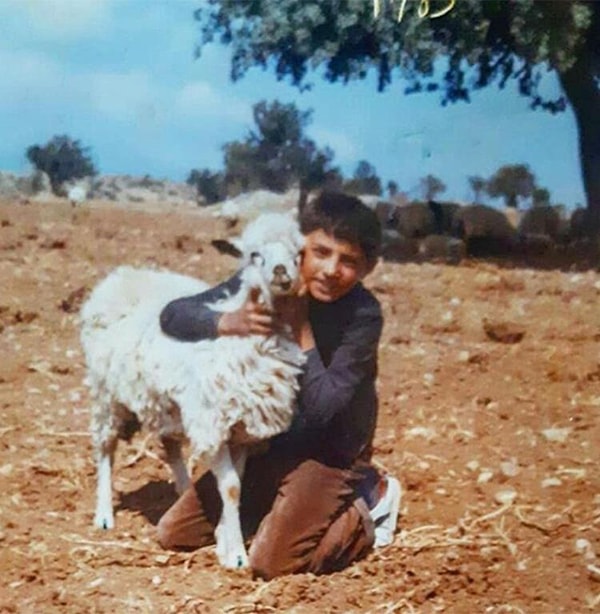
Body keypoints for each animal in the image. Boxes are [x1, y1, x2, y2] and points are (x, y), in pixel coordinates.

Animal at [79, 212, 304, 568]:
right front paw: (236, 554)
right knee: (105, 449)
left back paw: (183, 490)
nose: (282, 272)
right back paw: (103, 514)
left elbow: (236, 482)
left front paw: (224, 540)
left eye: (299, 254)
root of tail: (124, 275)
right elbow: (231, 487)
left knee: (170, 446)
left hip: (162, 403)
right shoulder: (213, 424)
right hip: (105, 394)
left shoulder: (243, 430)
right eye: (253, 254)